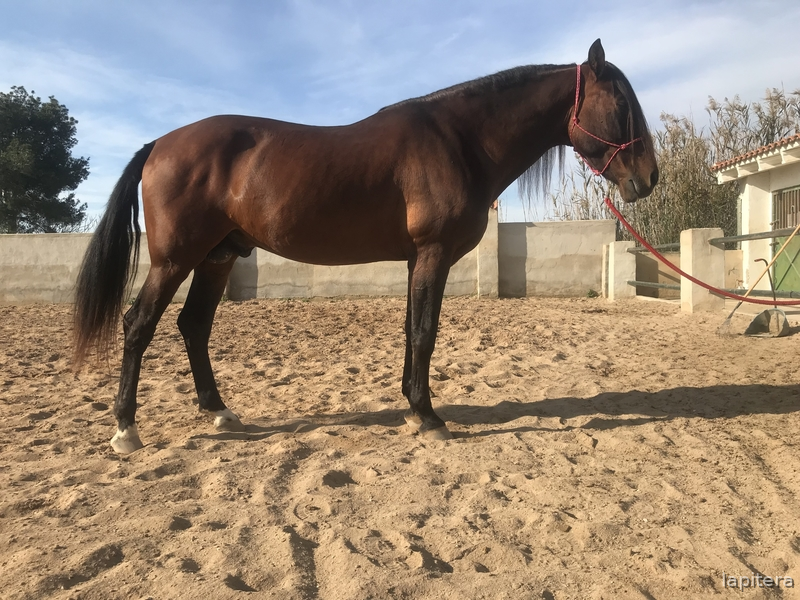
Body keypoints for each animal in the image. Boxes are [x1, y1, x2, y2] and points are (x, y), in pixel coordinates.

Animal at [73, 39, 658, 454]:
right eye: (622, 104)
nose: (649, 178)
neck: (460, 141)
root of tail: (160, 144)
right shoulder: (433, 253)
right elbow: (425, 331)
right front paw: (430, 417)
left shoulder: (416, 258)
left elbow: (411, 330)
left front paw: (412, 407)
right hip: (175, 259)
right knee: (139, 325)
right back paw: (126, 430)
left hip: (215, 259)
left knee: (193, 326)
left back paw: (219, 411)